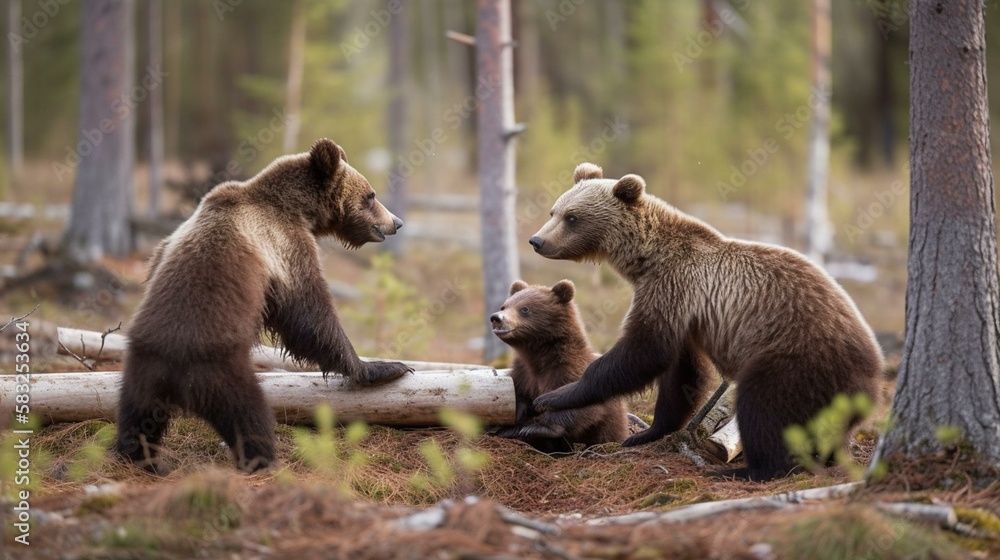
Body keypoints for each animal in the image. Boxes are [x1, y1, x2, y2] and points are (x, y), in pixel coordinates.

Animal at [113, 139, 412, 474]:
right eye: (370, 195)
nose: (396, 222)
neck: (296, 210)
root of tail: (173, 378)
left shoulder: (165, 247)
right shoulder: (283, 247)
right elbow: (310, 315)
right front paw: (381, 366)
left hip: (140, 368)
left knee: (137, 415)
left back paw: (139, 456)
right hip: (220, 369)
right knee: (248, 413)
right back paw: (263, 458)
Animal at [489, 279, 629, 453]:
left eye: (524, 309)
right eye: (504, 306)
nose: (496, 318)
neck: (539, 357)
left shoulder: (570, 369)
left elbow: (584, 404)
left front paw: (536, 427)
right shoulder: (523, 373)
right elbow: (517, 395)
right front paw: (511, 424)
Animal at [529, 162, 883, 481]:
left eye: (572, 217)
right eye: (553, 212)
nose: (537, 241)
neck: (646, 259)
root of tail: (873, 378)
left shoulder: (672, 287)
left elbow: (644, 351)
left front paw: (555, 396)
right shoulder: (686, 312)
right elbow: (682, 373)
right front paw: (647, 432)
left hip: (797, 358)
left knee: (763, 405)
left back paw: (748, 470)